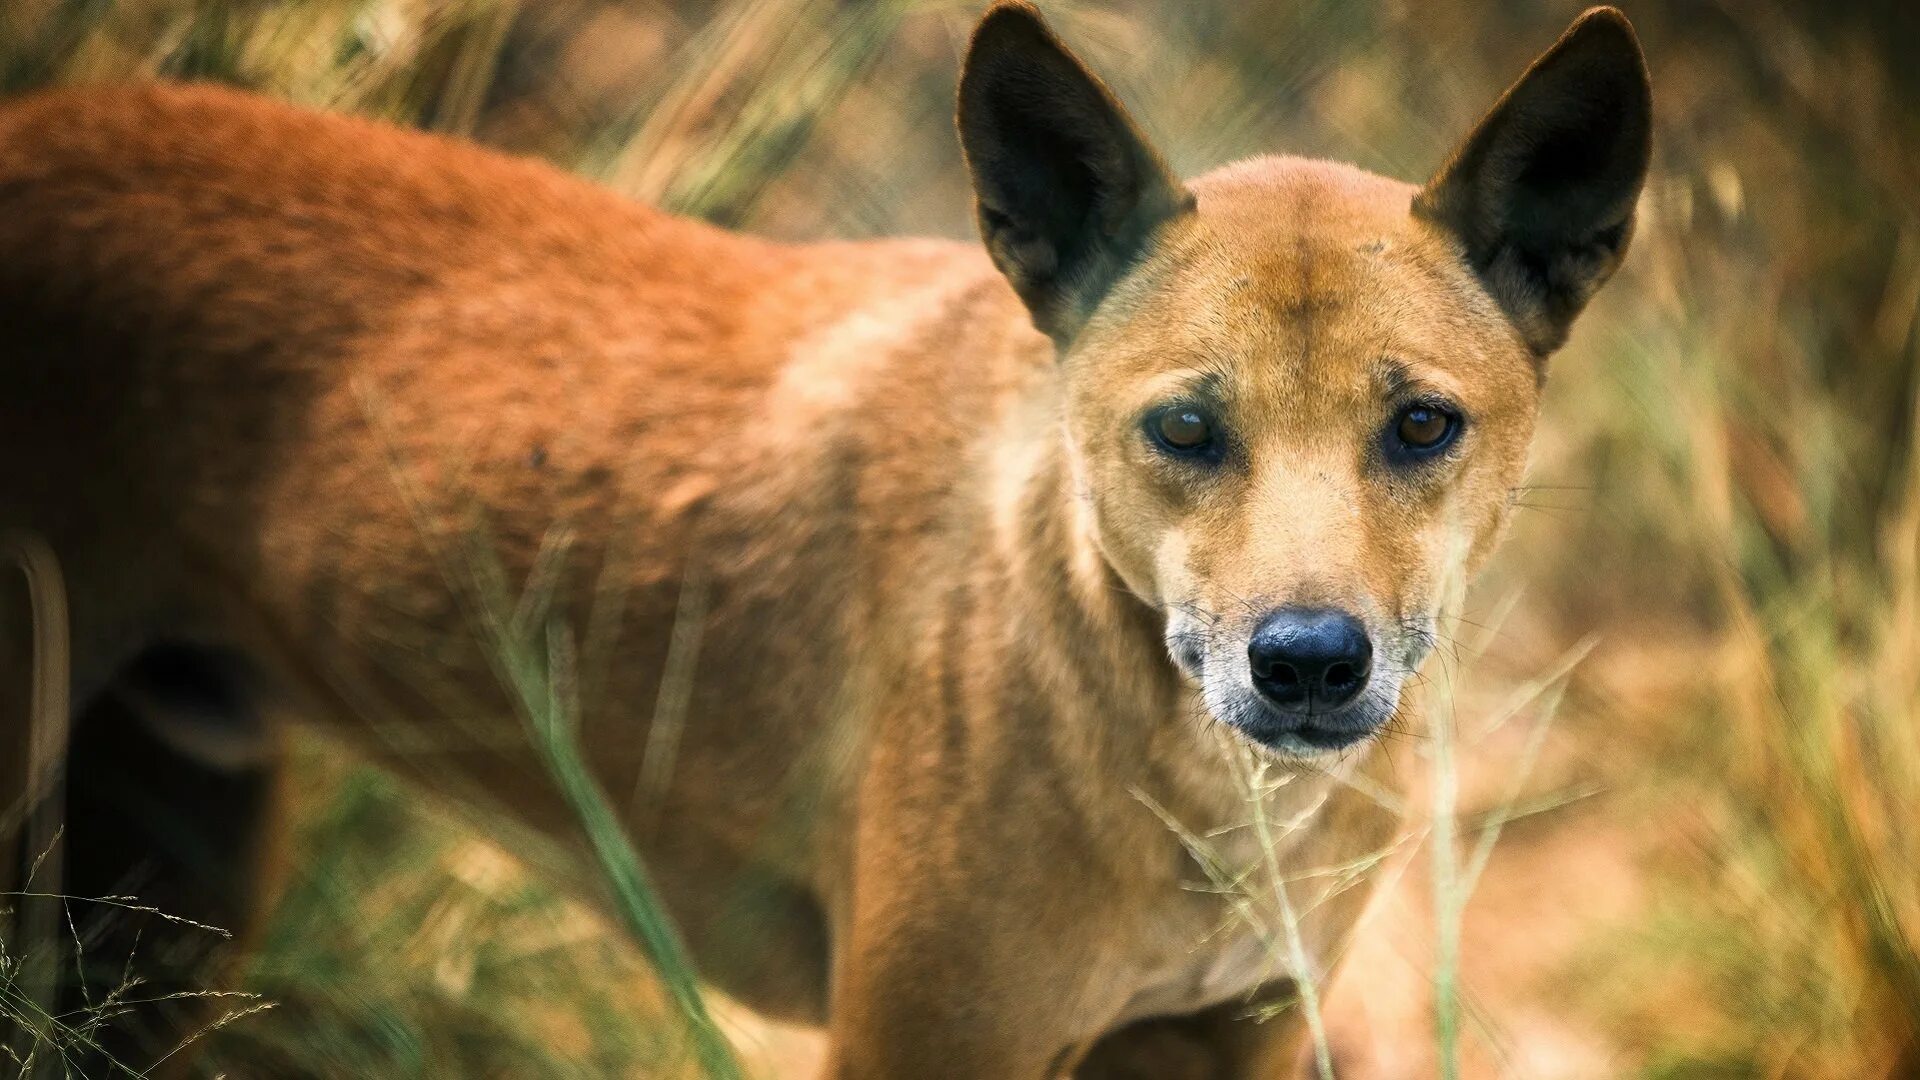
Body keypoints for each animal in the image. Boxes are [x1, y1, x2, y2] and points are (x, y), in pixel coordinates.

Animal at [0, 4, 1651, 1068]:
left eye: (1422, 427)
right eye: (1185, 430)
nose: (1308, 663)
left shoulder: (1219, 1040)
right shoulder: (925, 1042)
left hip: (167, 894)